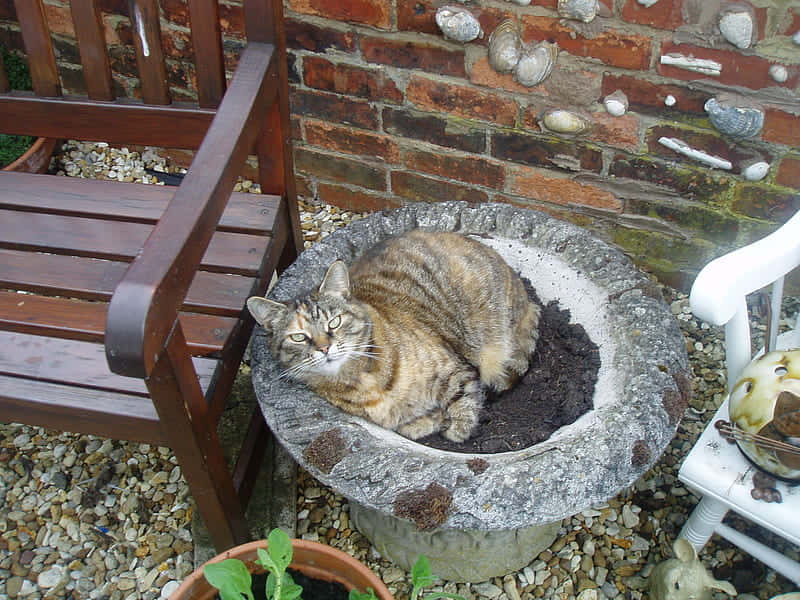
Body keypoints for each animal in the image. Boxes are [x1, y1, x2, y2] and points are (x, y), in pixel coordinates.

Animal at [247, 230, 540, 440]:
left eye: (334, 322)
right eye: (298, 337)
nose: (323, 348)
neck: (360, 381)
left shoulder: (456, 370)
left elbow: (462, 407)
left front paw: (455, 428)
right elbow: (410, 426)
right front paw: (432, 420)